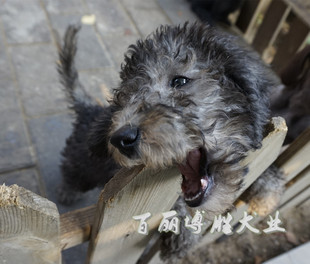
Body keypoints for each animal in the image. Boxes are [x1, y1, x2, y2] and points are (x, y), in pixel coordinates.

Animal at [57, 23, 284, 262]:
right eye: (123, 99)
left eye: (180, 81)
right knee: (71, 171)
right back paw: (66, 192)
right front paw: (183, 235)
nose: (121, 138)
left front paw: (268, 195)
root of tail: (87, 109)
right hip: (84, 165)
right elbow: (178, 203)